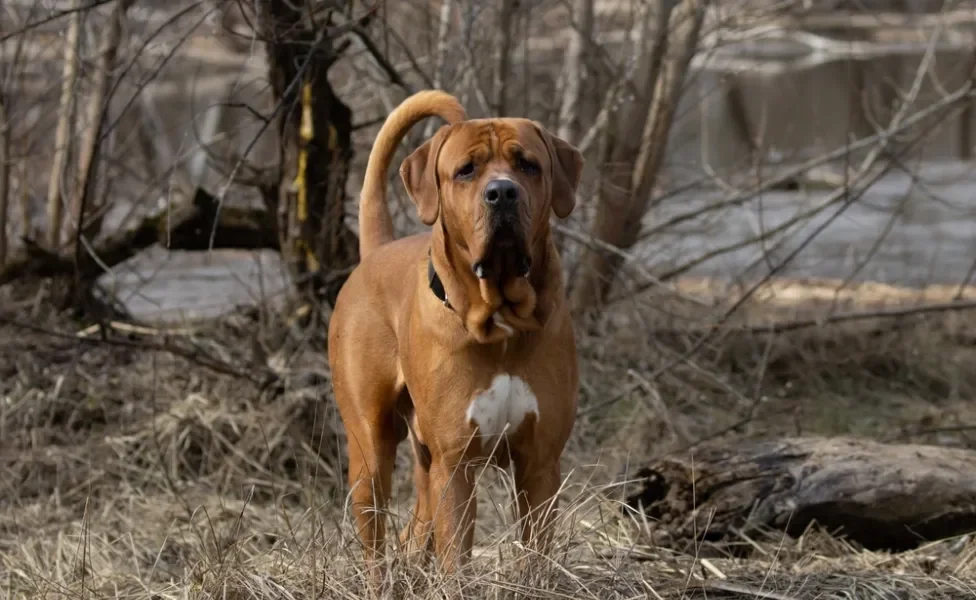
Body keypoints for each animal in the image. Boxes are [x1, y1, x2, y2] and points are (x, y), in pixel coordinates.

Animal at [330, 88, 588, 572]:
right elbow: (456, 563)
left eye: (528, 164)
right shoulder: (456, 465)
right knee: (375, 542)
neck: (500, 318)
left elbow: (536, 558)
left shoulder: (540, 463)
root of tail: (375, 252)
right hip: (371, 454)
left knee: (414, 534)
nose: (502, 192)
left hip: (424, 463)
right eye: (466, 170)